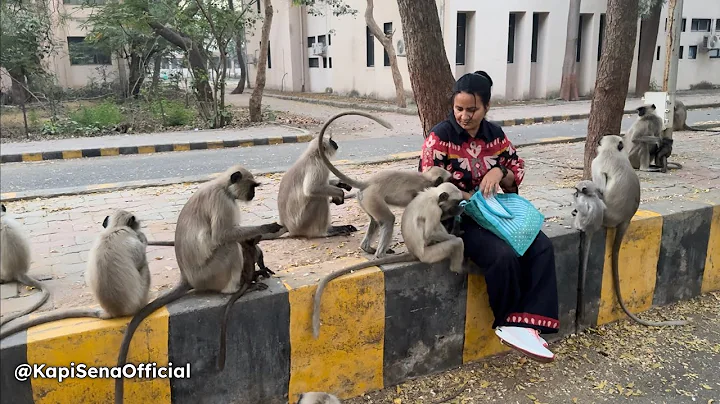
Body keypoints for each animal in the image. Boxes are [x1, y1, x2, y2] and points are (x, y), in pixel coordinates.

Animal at [0, 210, 152, 340]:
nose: (140, 226)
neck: (114, 228)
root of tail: (112, 311)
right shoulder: (132, 241)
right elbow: (140, 260)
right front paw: (143, 237)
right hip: (139, 299)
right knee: (145, 266)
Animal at [114, 165, 283, 404]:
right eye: (252, 186)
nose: (253, 194)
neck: (222, 186)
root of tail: (187, 276)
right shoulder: (223, 202)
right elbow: (224, 235)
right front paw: (266, 227)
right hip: (210, 273)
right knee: (228, 245)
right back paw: (238, 288)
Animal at [275, 111, 395, 240]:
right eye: (331, 141)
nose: (335, 143)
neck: (313, 155)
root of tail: (288, 226)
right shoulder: (317, 165)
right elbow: (312, 189)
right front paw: (340, 193)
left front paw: (341, 184)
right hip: (303, 222)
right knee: (318, 197)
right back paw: (327, 232)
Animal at [311, 182, 466, 339]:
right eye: (456, 203)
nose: (461, 208)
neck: (433, 195)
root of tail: (414, 252)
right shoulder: (435, 210)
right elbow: (430, 233)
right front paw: (455, 234)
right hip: (429, 254)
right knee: (454, 243)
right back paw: (458, 265)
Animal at [316, 113, 452, 258]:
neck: (426, 178)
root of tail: (367, 183)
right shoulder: (424, 190)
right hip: (373, 198)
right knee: (388, 220)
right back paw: (381, 254)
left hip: (366, 200)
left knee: (375, 221)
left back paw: (367, 248)